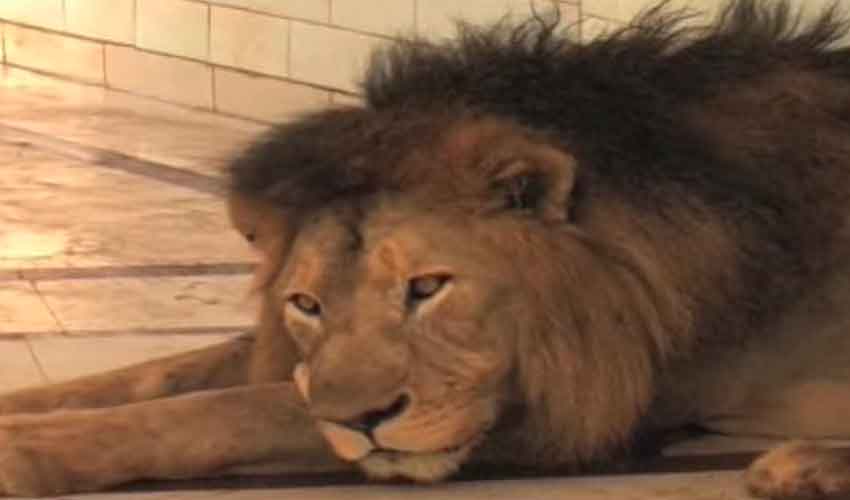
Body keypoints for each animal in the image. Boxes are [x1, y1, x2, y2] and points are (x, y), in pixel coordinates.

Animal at [2, 0, 850, 498]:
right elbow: (160, 376)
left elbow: (229, 409)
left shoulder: (577, 404)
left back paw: (803, 464)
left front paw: (22, 451)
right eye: (306, 304)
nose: (364, 421)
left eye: (427, 287)